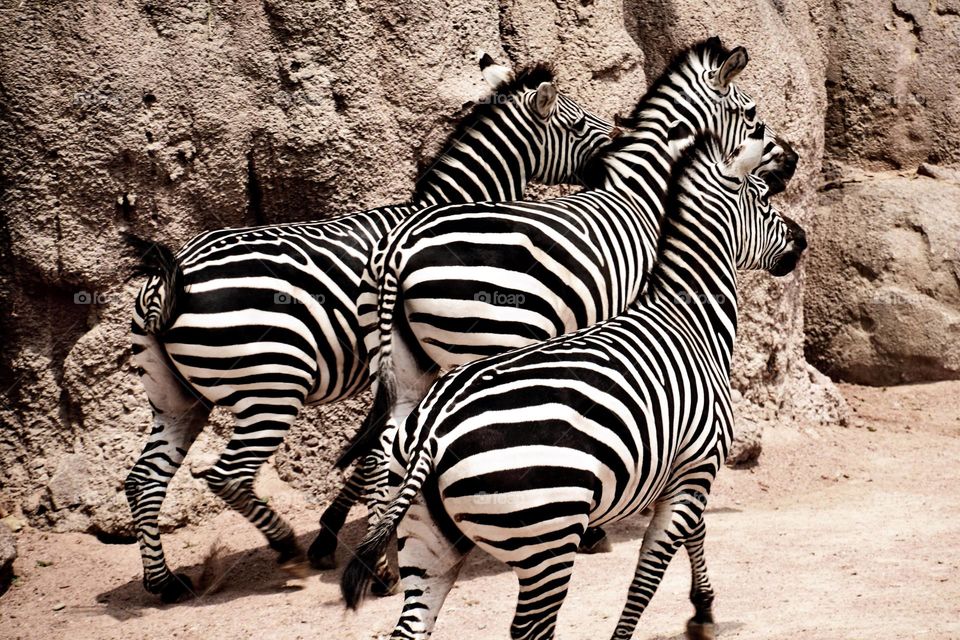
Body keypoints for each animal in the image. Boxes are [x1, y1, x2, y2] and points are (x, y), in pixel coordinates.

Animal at [123, 55, 614, 603]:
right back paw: (286, 547)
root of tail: (172, 274)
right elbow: (380, 455)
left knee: (144, 479)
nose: (618, 141)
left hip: (177, 400)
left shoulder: (400, 374)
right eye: (578, 124)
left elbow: (373, 454)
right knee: (226, 474)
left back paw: (164, 581)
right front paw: (361, 550)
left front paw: (336, 535)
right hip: (270, 387)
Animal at [336, 39, 798, 540]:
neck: (641, 193)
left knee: (388, 437)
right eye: (752, 115)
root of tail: (399, 252)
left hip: (406, 355)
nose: (793, 161)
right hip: (481, 342)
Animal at [340, 124, 807, 640]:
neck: (690, 320)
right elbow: (648, 576)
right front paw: (696, 612)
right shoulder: (695, 469)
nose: (803, 238)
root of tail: (432, 434)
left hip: (427, 537)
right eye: (762, 197)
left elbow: (694, 534)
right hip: (545, 537)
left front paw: (703, 608)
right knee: (531, 628)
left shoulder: (679, 472)